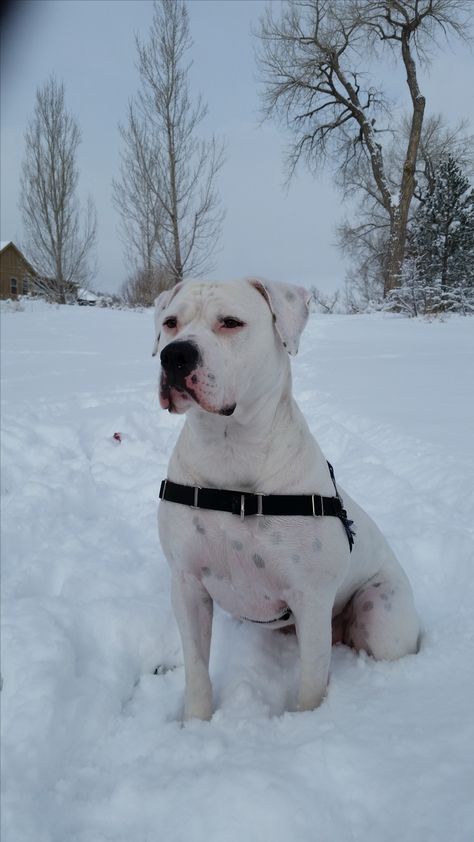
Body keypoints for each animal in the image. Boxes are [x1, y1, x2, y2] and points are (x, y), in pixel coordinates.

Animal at [153, 278, 418, 720]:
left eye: (231, 322)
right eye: (170, 322)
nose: (175, 355)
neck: (230, 451)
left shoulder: (310, 598)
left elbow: (311, 682)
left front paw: (305, 723)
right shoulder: (187, 584)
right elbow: (196, 668)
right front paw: (196, 723)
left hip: (382, 615)